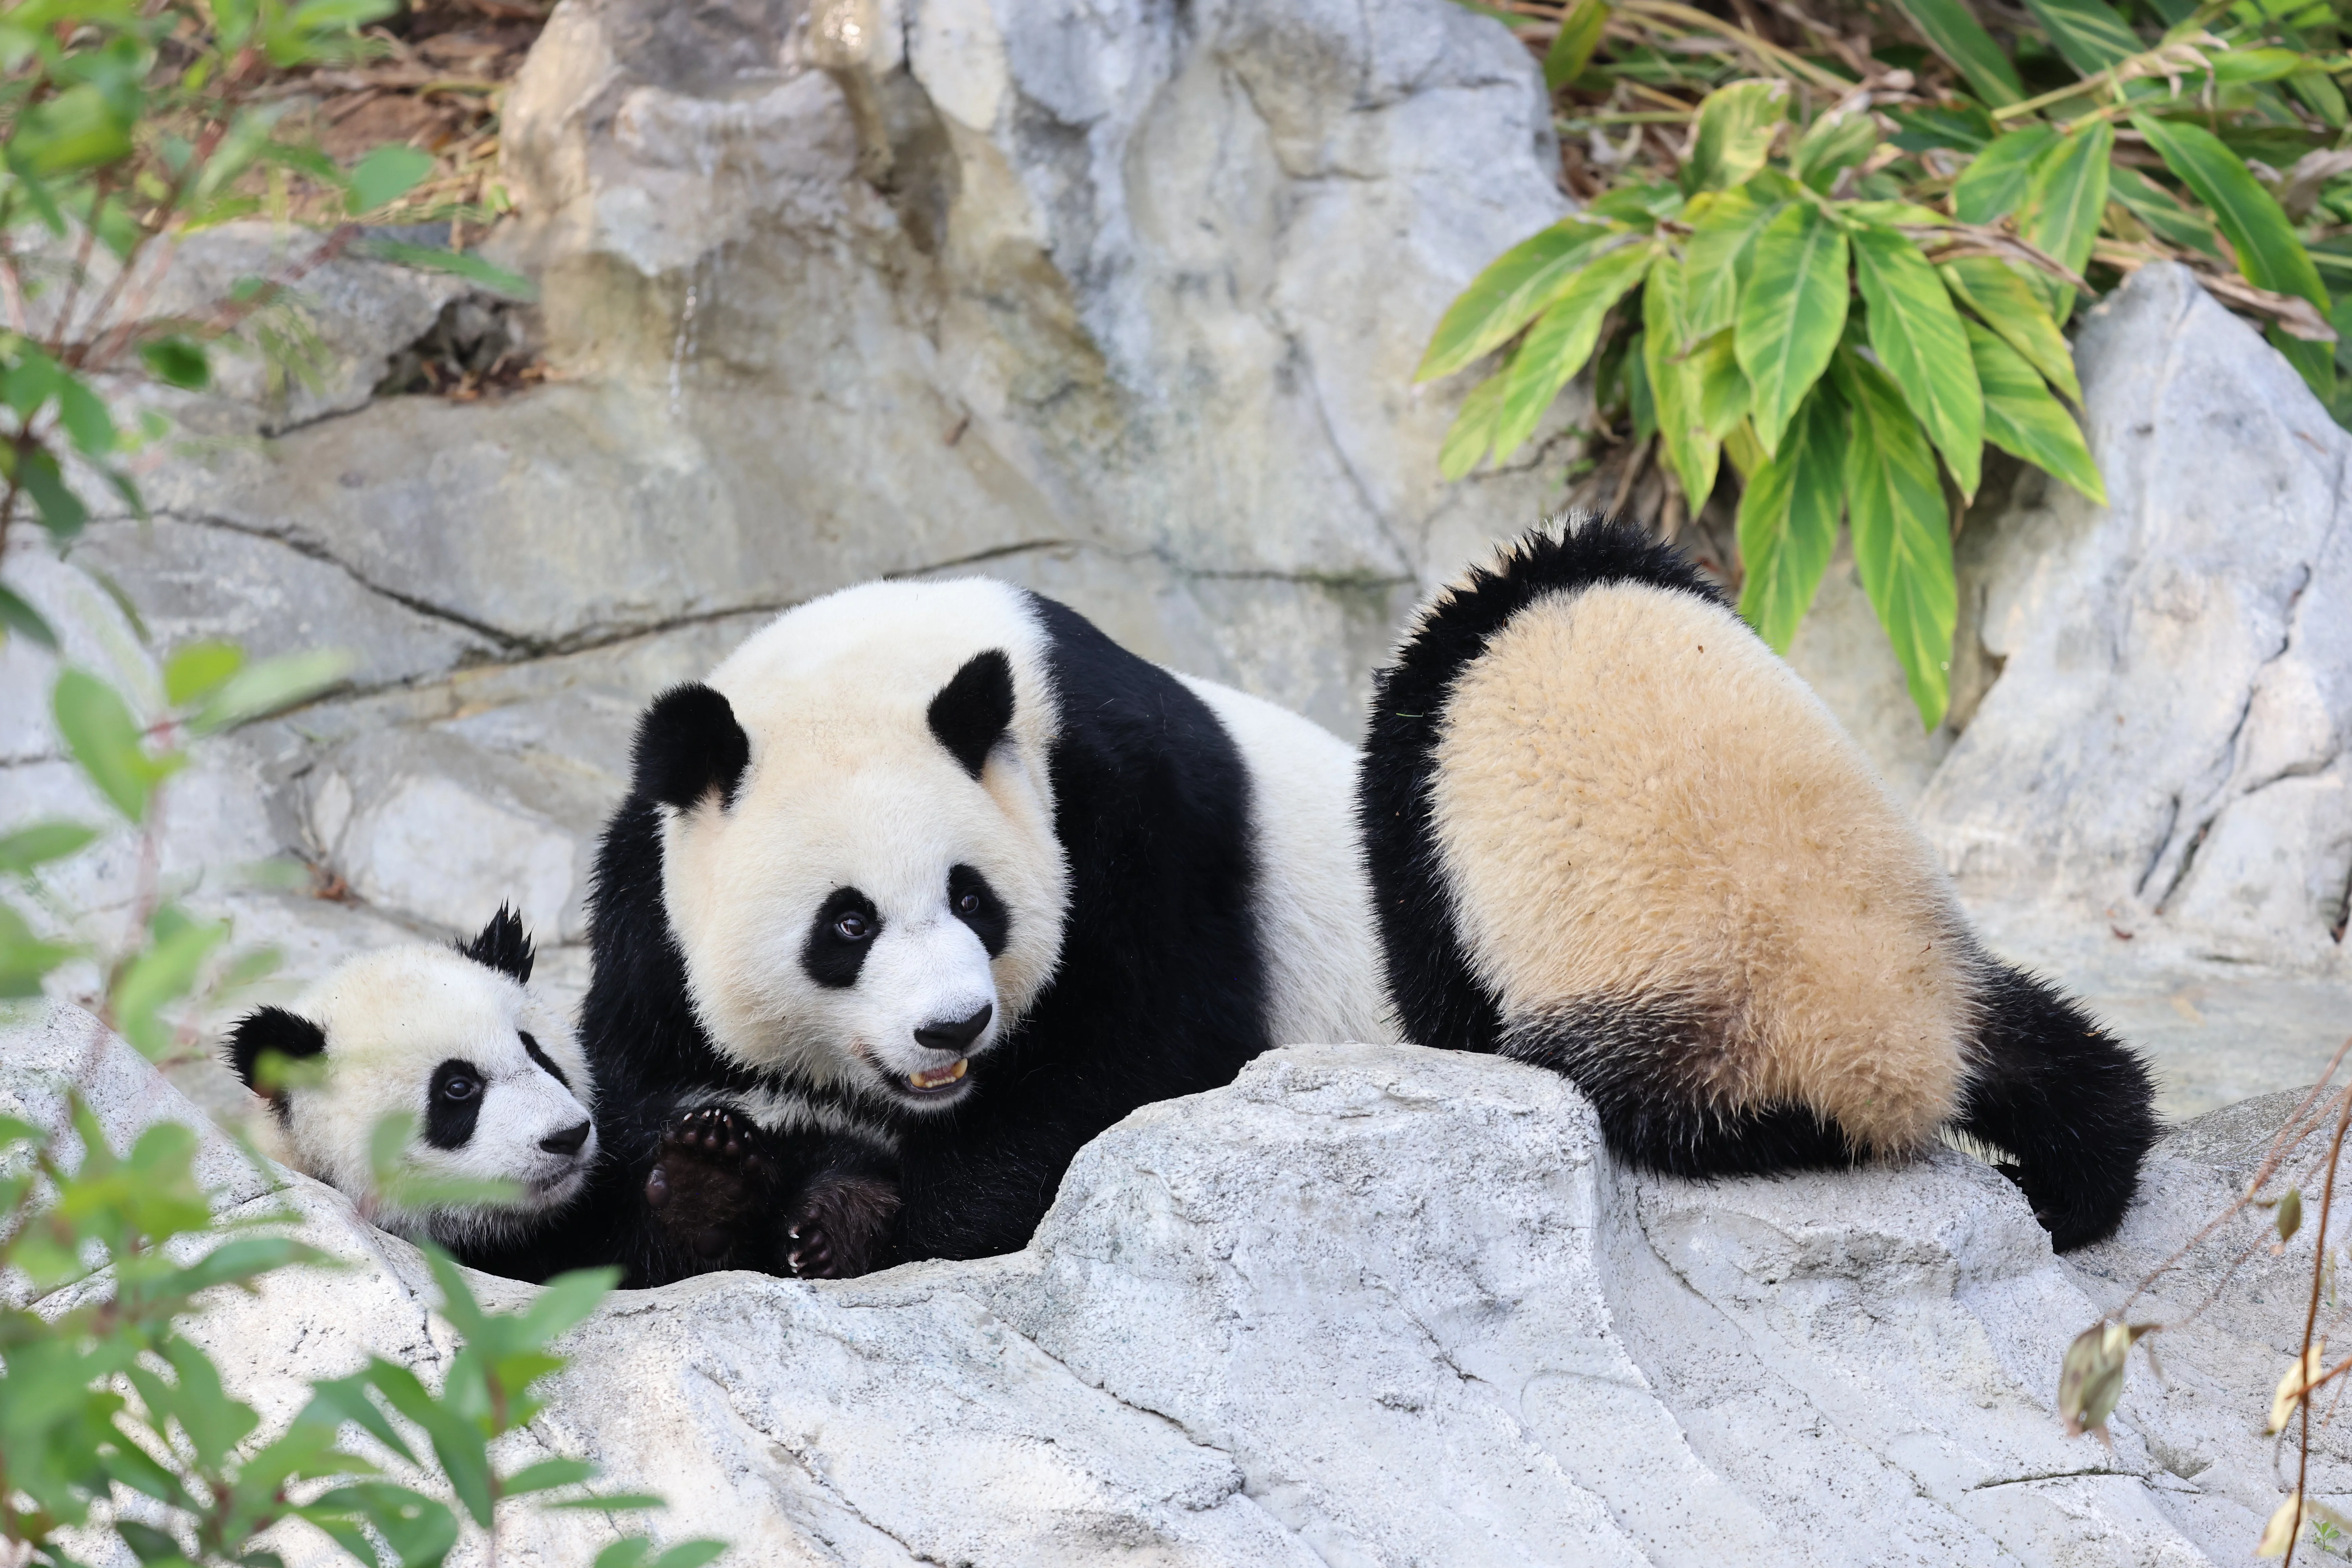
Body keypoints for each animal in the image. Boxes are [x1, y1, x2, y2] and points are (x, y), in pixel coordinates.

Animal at [573, 576, 1388, 1280]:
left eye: (971, 899)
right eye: (849, 924)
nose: (953, 1027)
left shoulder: (1143, 830)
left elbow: (1119, 1064)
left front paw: (868, 1224)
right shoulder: (649, 910)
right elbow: (638, 1105)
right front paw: (712, 1183)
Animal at [1356, 520, 2157, 1252]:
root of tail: (1883, 1050)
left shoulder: (1419, 790)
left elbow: (1439, 982)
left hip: (1676, 1046)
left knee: (1686, 1129)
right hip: (1947, 972)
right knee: (2067, 1066)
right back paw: (2067, 1199)